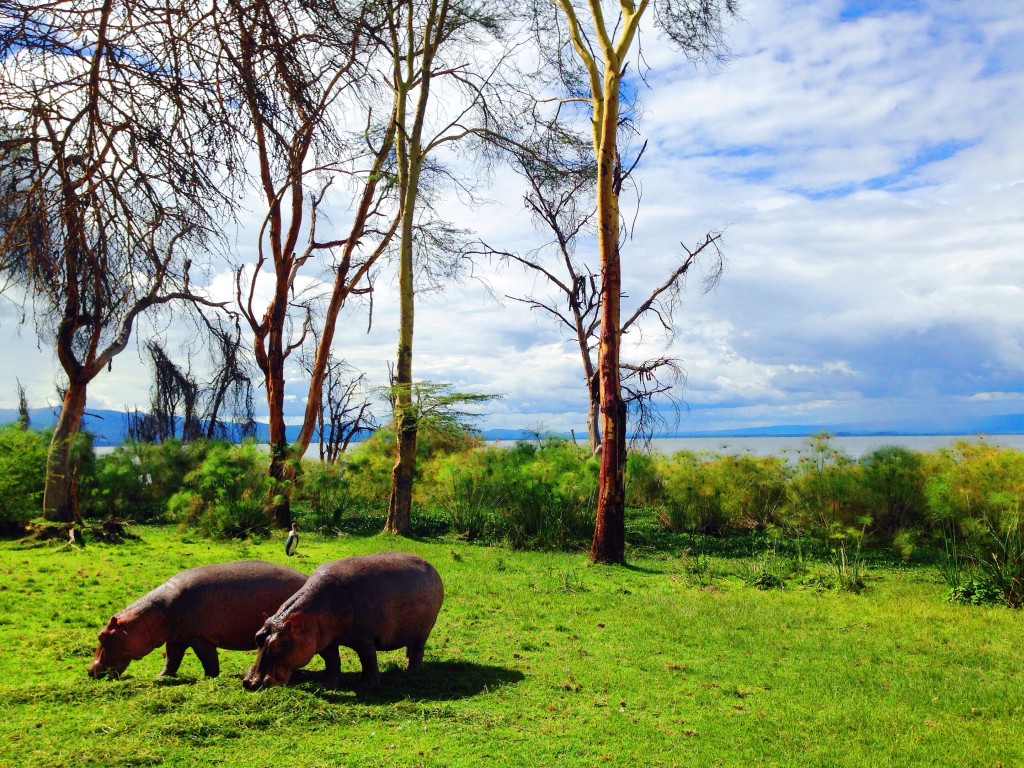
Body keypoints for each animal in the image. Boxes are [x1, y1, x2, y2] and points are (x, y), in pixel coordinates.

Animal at [89, 561, 305, 679]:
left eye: (103, 636)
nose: (90, 670)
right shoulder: (176, 638)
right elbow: (171, 660)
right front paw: (160, 677)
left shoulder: (199, 638)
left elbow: (208, 660)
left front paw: (210, 678)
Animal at [245, 548, 446, 696]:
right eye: (257, 637)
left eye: (279, 645)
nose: (250, 683)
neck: (309, 617)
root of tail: (430, 565)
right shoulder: (325, 642)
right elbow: (332, 661)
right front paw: (328, 684)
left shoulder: (365, 639)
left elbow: (368, 660)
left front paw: (367, 685)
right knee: (410, 644)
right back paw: (406, 657)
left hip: (426, 628)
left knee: (418, 648)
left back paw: (412, 670)